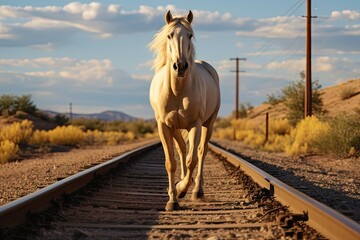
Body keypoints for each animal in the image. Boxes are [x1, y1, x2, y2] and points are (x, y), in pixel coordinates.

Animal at [148, 10, 219, 211]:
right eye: (169, 35)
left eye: (190, 35)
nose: (180, 66)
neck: (177, 89)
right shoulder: (164, 125)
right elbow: (171, 162)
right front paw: (173, 199)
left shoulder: (196, 124)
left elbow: (192, 159)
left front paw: (181, 190)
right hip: (177, 127)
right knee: (181, 149)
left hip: (208, 124)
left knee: (201, 151)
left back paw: (196, 190)